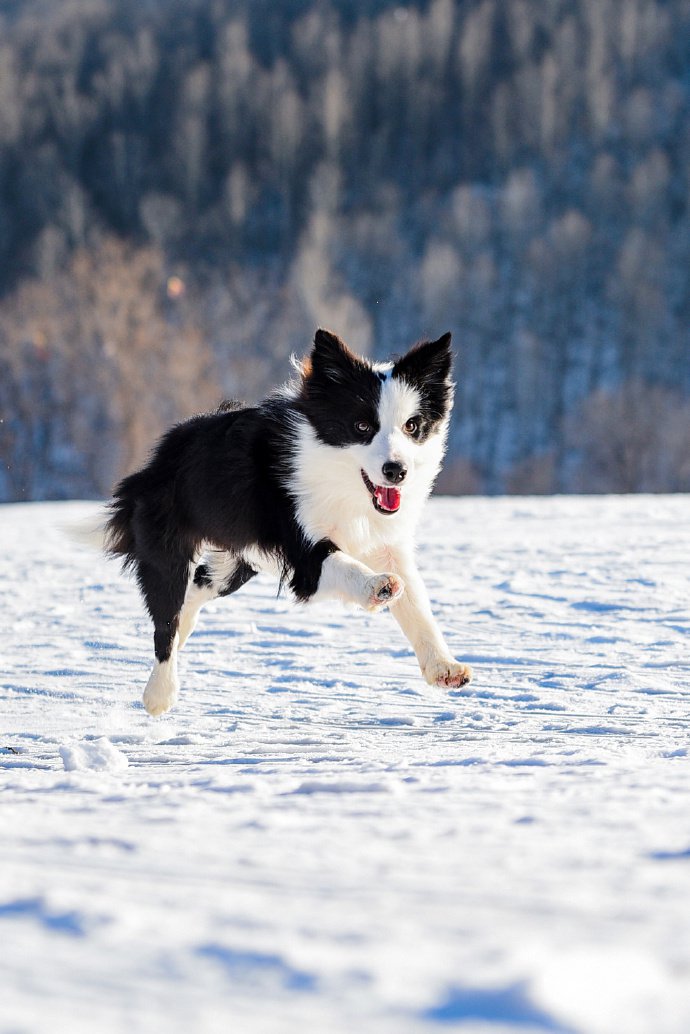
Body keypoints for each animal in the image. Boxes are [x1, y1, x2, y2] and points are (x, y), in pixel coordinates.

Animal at [105, 326, 471, 715]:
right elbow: (341, 565)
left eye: (412, 426)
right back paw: (159, 694)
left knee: (199, 585)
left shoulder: (387, 541)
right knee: (166, 618)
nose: (396, 471)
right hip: (167, 546)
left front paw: (444, 667)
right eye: (361, 426)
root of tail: (157, 456)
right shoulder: (300, 545)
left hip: (238, 560)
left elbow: (416, 604)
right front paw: (378, 587)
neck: (340, 480)